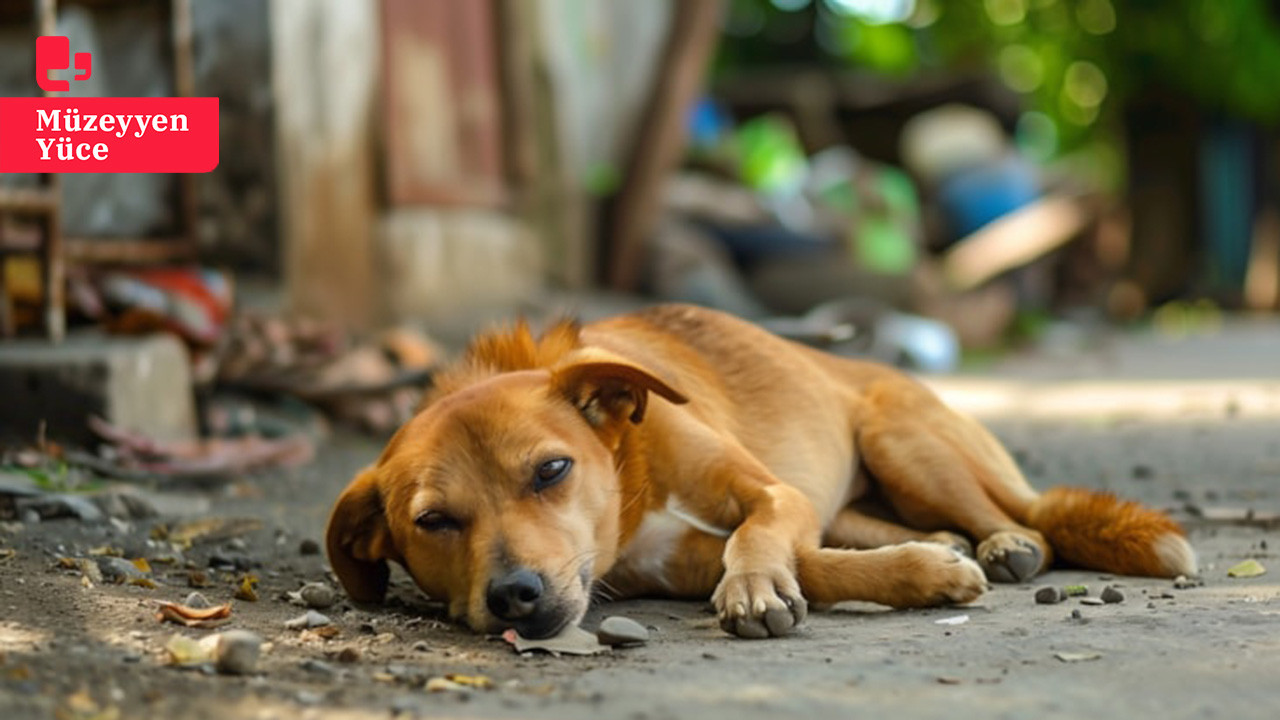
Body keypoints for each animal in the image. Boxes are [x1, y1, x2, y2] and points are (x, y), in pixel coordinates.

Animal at [325, 299, 1192, 635]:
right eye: (433, 522)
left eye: (550, 471)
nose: (515, 596)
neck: (632, 476)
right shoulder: (676, 562)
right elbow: (816, 564)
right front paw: (923, 572)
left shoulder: (773, 494)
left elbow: (759, 537)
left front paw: (752, 588)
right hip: (866, 492)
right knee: (893, 527)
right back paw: (945, 544)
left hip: (903, 442)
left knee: (1023, 519)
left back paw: (1005, 543)